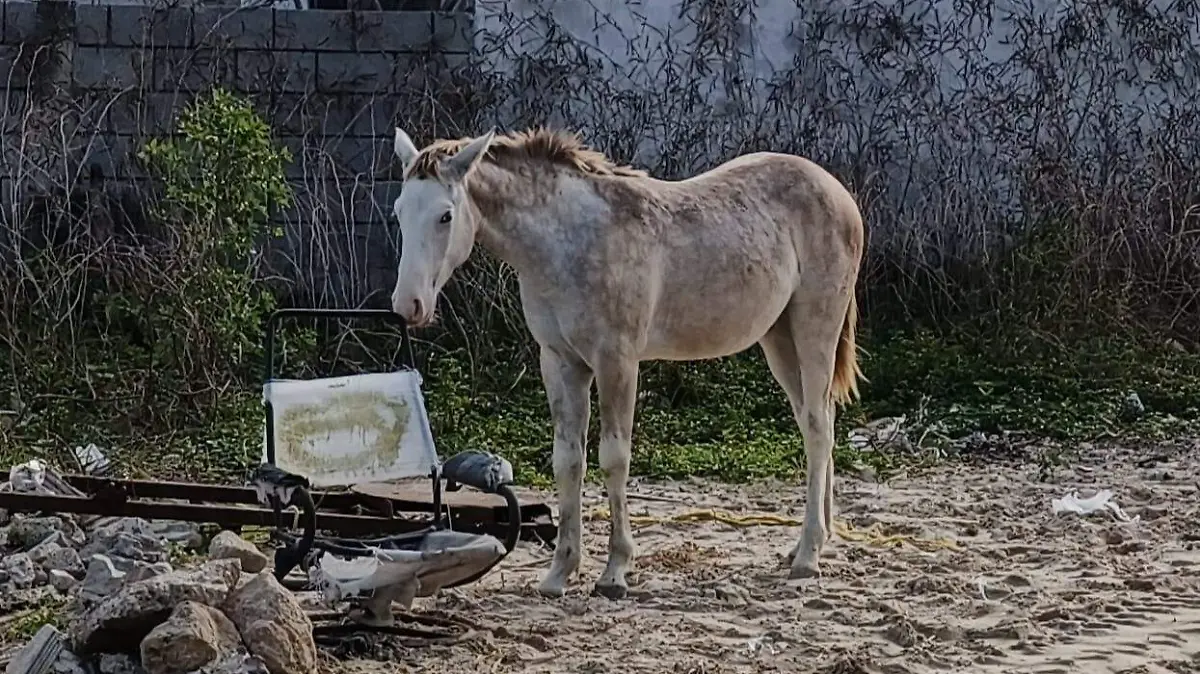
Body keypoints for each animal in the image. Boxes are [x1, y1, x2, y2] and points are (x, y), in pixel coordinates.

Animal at [388, 126, 864, 599]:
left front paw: (614, 571)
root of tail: (837, 191)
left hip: (814, 331)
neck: (568, 243)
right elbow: (568, 461)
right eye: (398, 211)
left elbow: (614, 458)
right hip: (779, 340)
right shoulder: (560, 364)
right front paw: (560, 572)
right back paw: (814, 540)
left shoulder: (616, 361)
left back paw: (808, 554)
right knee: (816, 421)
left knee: (818, 428)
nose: (408, 305)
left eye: (445, 216)